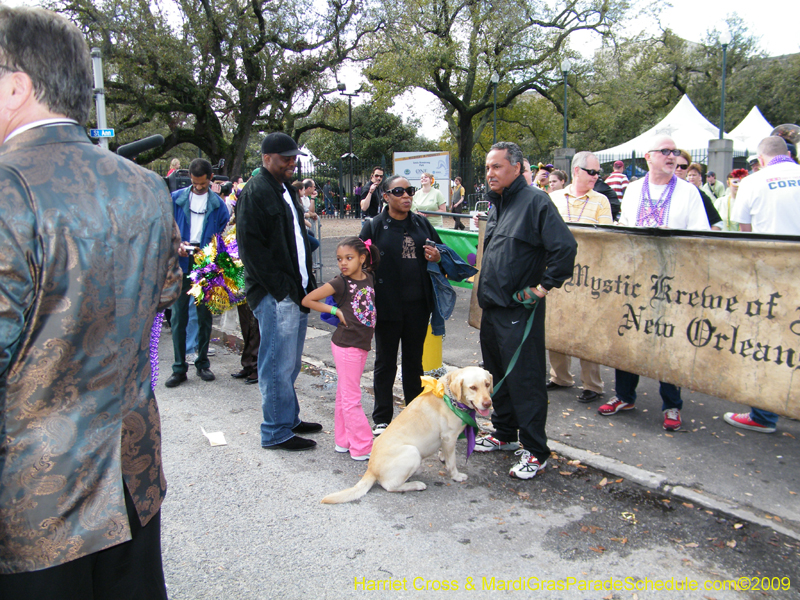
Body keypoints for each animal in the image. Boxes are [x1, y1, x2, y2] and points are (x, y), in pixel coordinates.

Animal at [322, 368, 490, 504]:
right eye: (473, 387)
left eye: (487, 384)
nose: (488, 403)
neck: (450, 397)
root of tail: (371, 469)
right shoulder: (449, 437)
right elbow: (452, 463)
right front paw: (456, 476)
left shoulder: (446, 439)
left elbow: (446, 455)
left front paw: (442, 457)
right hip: (412, 452)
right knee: (389, 486)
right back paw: (416, 485)